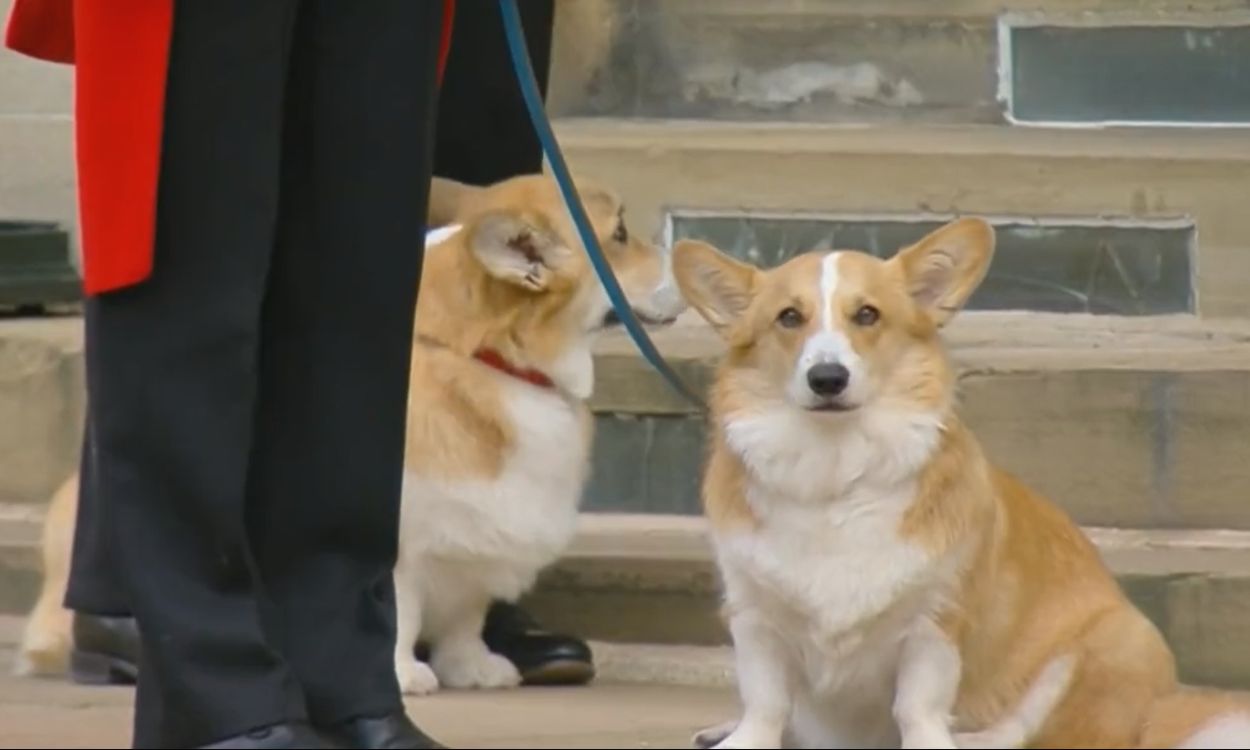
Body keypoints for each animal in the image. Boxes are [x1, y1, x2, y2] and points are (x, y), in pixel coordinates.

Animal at [390, 172, 685, 695]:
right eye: (619, 233)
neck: (485, 354)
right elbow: (401, 608)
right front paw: (402, 672)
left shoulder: (476, 531)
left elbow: (466, 616)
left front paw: (472, 666)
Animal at [675, 218, 1250, 750]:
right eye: (789, 318)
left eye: (868, 315)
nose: (828, 378)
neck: (834, 473)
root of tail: (1165, 703)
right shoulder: (754, 616)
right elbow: (766, 703)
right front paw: (743, 739)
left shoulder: (935, 621)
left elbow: (917, 708)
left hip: (1110, 643)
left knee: (1019, 732)